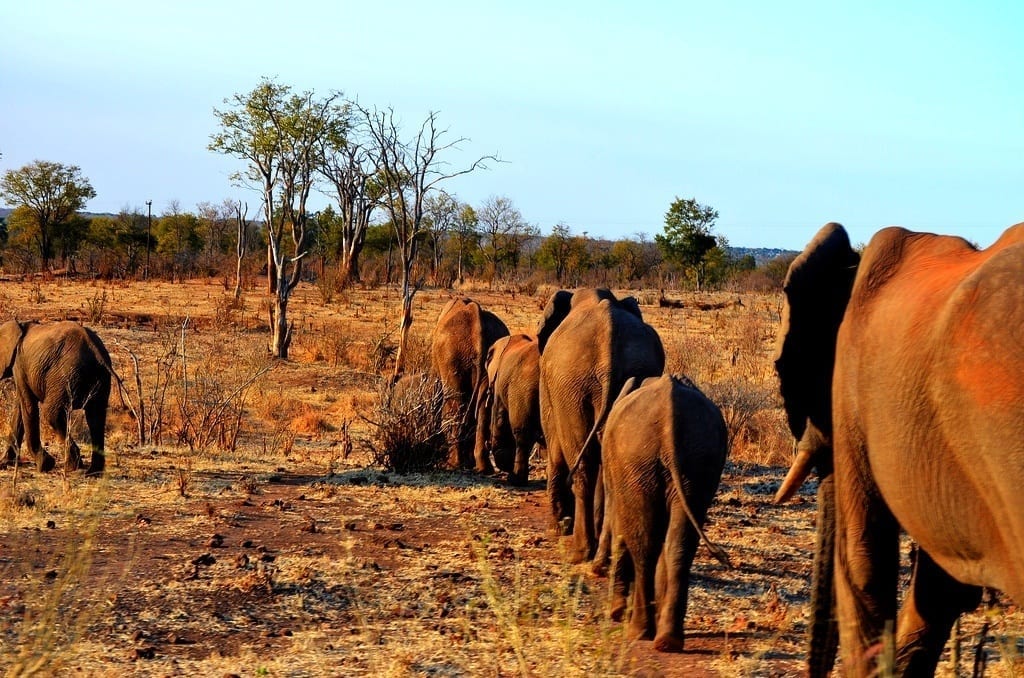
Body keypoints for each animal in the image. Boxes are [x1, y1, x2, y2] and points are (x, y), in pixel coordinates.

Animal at [0, 320, 117, 475]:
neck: (19, 325)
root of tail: (96, 350)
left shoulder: (19, 366)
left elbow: (28, 406)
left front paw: (44, 465)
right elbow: (20, 408)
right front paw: (4, 462)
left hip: (66, 375)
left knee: (52, 414)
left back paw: (71, 467)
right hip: (99, 377)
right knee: (96, 418)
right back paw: (92, 473)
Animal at [471, 333, 543, 486]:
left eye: (487, 361)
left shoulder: (500, 384)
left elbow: (500, 420)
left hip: (524, 389)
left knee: (522, 434)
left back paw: (515, 480)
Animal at [537, 288, 665, 562]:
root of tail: (609, 359)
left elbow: (554, 442)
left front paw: (557, 528)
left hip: (571, 387)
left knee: (582, 464)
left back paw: (580, 551)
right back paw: (600, 554)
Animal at [599, 374, 729, 653]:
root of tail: (670, 420)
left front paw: (617, 612)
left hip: (637, 462)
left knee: (644, 545)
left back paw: (640, 632)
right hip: (697, 462)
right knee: (679, 545)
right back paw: (668, 640)